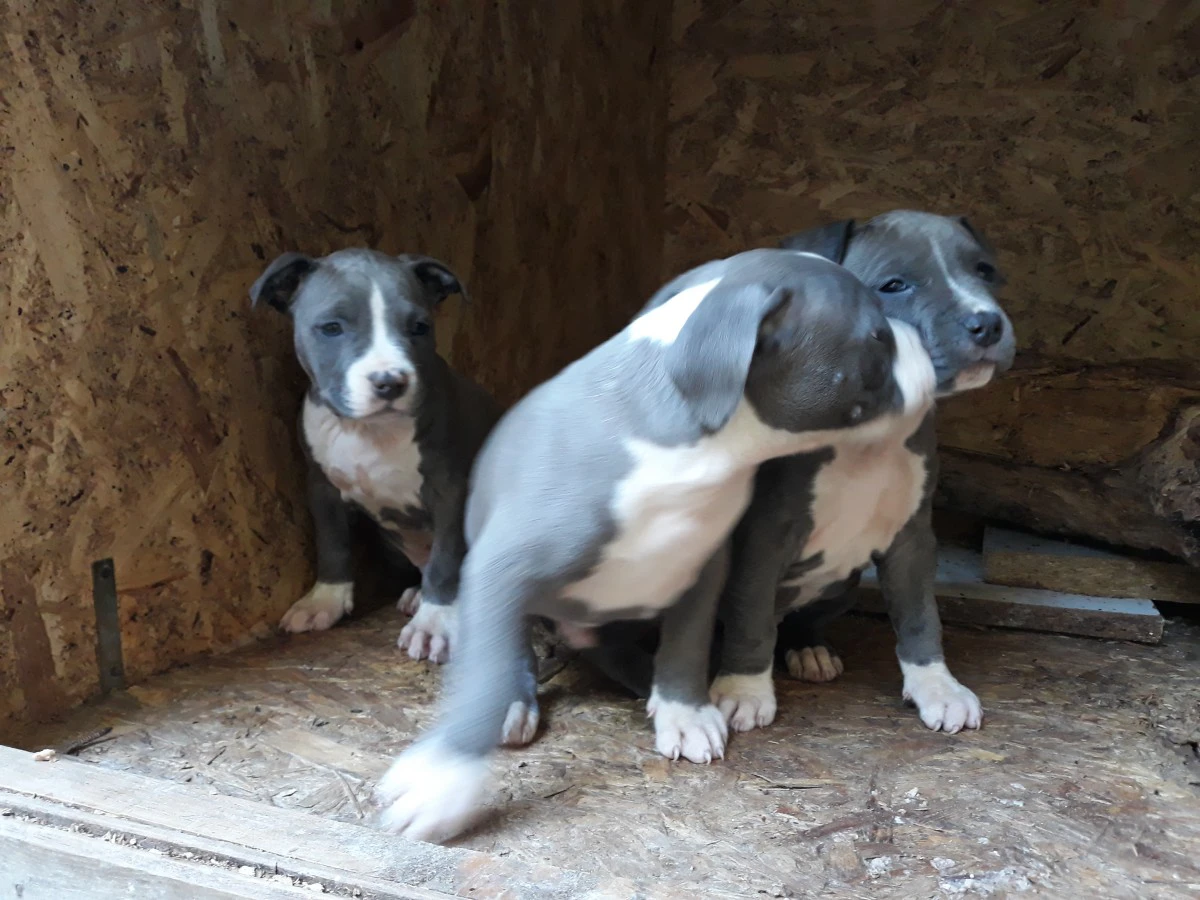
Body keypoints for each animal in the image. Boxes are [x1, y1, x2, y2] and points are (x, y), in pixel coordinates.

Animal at [250, 247, 499, 672]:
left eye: (419, 327)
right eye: (331, 328)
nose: (389, 382)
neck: (368, 430)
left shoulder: (452, 489)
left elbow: (446, 559)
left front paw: (434, 623)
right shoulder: (321, 486)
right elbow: (332, 541)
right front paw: (324, 600)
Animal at [374, 248, 936, 844]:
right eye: (878, 336)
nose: (926, 345)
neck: (693, 451)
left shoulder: (704, 563)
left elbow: (685, 645)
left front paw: (683, 712)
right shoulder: (500, 567)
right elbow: (486, 671)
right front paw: (442, 780)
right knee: (515, 650)